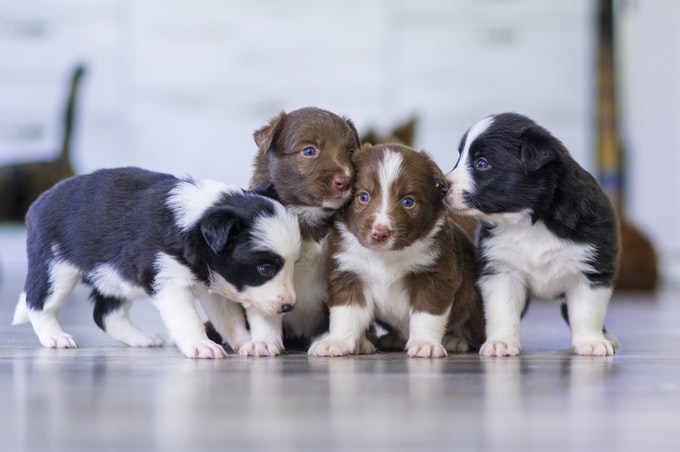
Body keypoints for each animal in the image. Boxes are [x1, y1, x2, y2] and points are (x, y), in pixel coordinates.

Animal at [11, 168, 300, 358]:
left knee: (105, 314)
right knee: (39, 304)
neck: (196, 222)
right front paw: (201, 346)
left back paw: (141, 338)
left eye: (294, 264)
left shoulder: (216, 284)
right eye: (265, 269)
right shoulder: (169, 282)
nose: (288, 307)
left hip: (114, 277)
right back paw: (55, 337)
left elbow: (229, 318)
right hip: (56, 267)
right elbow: (188, 318)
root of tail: (38, 202)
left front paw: (247, 342)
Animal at [308, 143, 484, 358]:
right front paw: (336, 342)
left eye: (408, 202)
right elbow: (345, 313)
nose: (379, 233)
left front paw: (425, 343)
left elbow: (426, 314)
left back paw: (455, 340)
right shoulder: (348, 273)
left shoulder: (434, 274)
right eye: (363, 197)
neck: (385, 256)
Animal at [444, 113, 620, 356]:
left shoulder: (591, 269)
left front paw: (591, 342)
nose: (442, 186)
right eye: (459, 157)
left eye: (482, 163)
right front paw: (500, 342)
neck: (529, 221)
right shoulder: (501, 270)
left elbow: (586, 311)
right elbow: (502, 310)